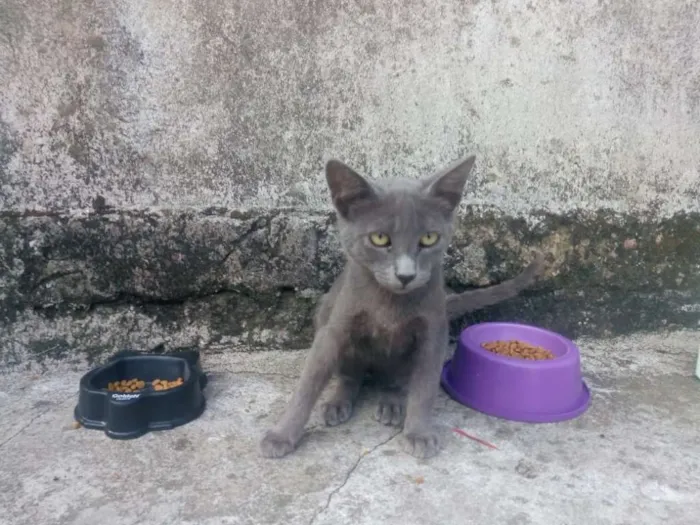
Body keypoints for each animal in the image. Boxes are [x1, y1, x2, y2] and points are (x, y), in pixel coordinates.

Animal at [260, 154, 544, 456]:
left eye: (429, 238)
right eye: (379, 238)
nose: (406, 275)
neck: (390, 303)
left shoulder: (433, 333)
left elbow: (424, 386)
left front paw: (419, 432)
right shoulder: (335, 328)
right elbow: (309, 381)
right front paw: (281, 434)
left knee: (396, 381)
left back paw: (391, 403)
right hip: (325, 312)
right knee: (350, 375)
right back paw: (338, 402)